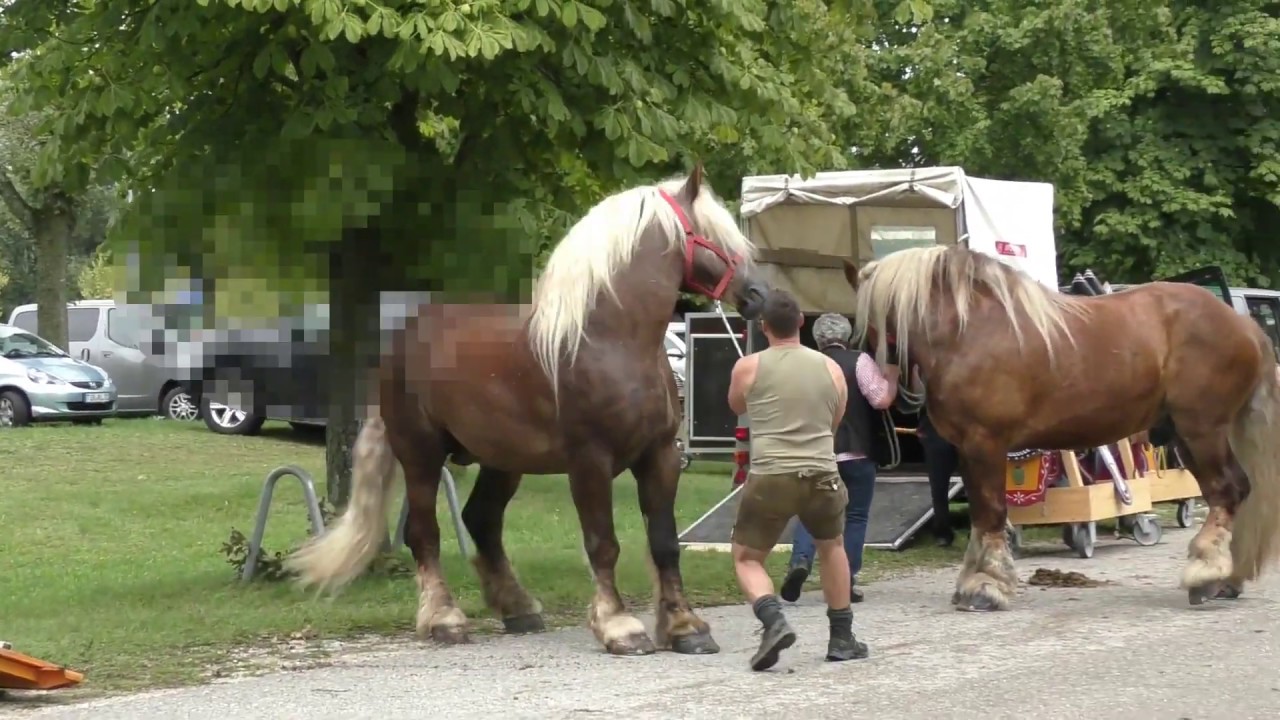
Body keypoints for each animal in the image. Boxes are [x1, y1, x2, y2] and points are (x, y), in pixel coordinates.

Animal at [288, 165, 768, 653]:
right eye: (712, 235)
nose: (761, 295)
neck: (610, 342)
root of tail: (399, 344)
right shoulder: (590, 461)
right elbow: (603, 543)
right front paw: (619, 626)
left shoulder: (660, 456)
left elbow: (665, 542)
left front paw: (685, 627)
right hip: (420, 455)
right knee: (424, 533)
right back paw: (444, 619)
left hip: (502, 461)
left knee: (481, 520)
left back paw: (517, 607)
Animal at [839, 243, 1280, 607]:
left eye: (873, 325)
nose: (886, 391)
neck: (969, 332)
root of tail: (1244, 326)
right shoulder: (967, 449)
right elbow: (982, 515)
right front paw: (974, 581)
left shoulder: (985, 443)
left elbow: (991, 512)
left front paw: (988, 586)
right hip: (1191, 435)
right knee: (1232, 492)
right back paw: (1226, 579)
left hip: (1202, 430)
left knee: (1227, 491)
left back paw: (1205, 575)